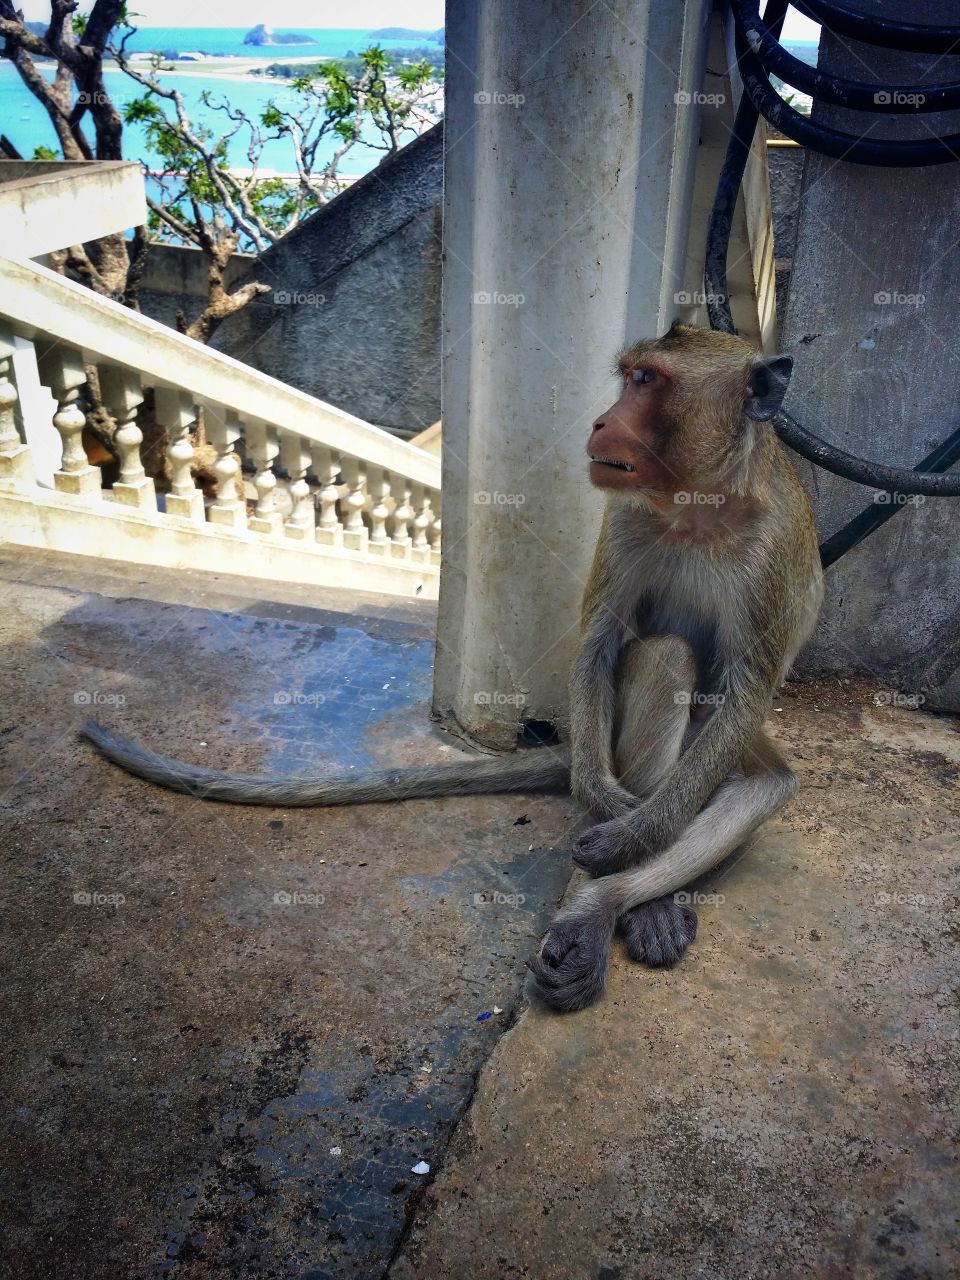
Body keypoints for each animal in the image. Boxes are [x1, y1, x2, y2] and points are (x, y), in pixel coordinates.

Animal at [82, 322, 821, 1013]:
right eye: (630, 376)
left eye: (649, 380)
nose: (601, 420)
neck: (696, 502)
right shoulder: (627, 516)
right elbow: (598, 646)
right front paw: (607, 806)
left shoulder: (774, 543)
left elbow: (746, 690)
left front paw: (636, 833)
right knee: (665, 658)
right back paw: (612, 898)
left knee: (758, 785)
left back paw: (614, 900)